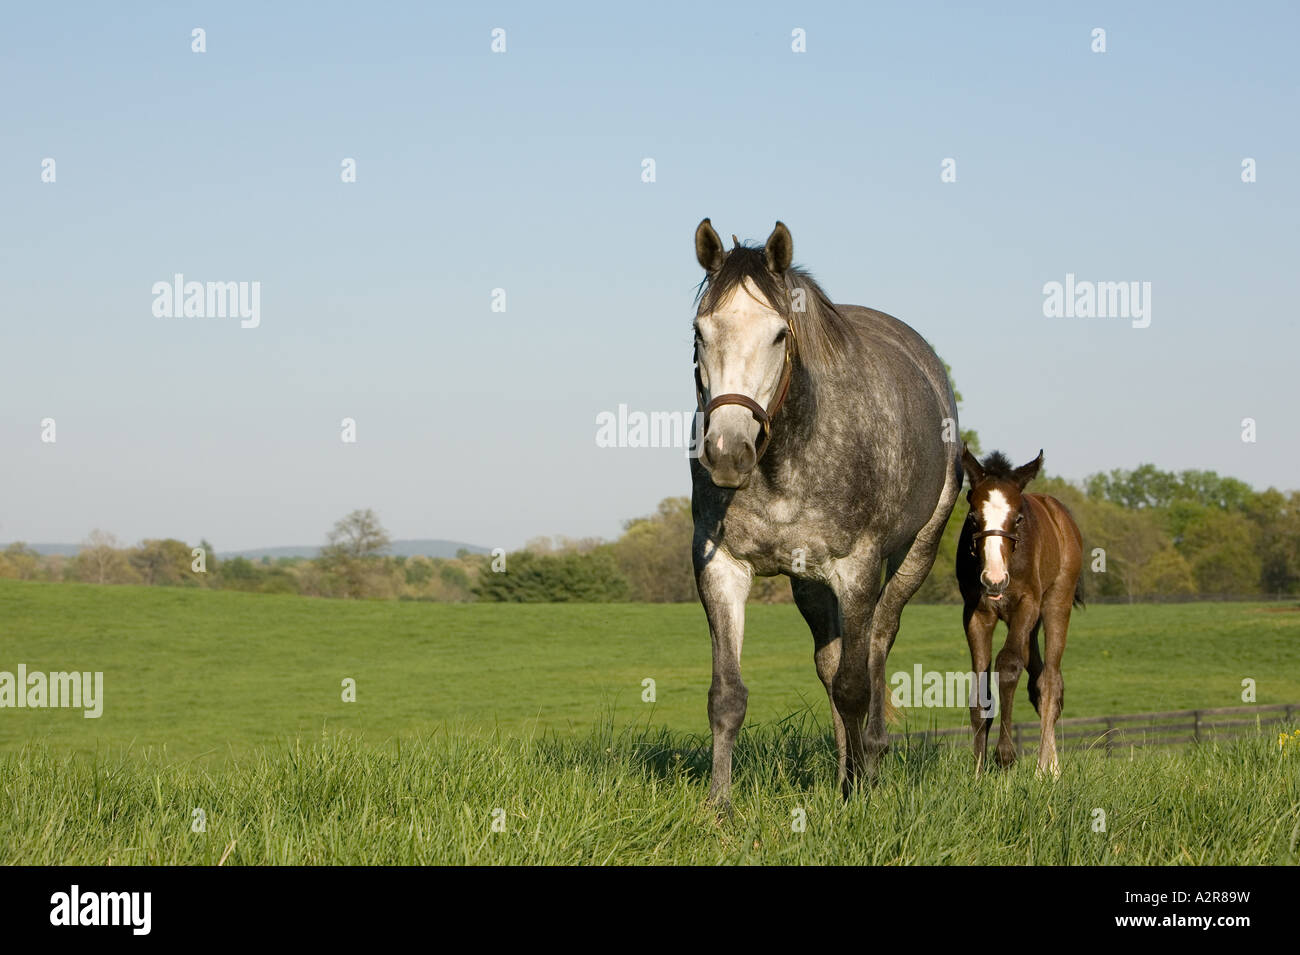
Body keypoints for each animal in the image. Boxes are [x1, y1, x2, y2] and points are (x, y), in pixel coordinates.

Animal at [689, 219, 961, 803]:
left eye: (779, 334)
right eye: (700, 332)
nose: (727, 452)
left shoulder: (857, 569)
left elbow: (855, 686)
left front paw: (856, 794)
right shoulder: (721, 568)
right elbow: (728, 696)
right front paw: (719, 806)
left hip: (915, 555)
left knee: (876, 642)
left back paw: (870, 761)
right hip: (808, 582)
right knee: (831, 662)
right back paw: (846, 766)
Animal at [956, 447, 1083, 777]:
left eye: (1018, 518)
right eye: (973, 517)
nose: (994, 579)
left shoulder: (1027, 603)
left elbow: (1009, 664)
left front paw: (1005, 756)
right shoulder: (976, 613)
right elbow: (980, 687)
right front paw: (977, 772)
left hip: (1054, 605)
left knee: (1050, 680)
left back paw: (1045, 770)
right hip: (1030, 625)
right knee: (1038, 680)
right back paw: (1051, 765)